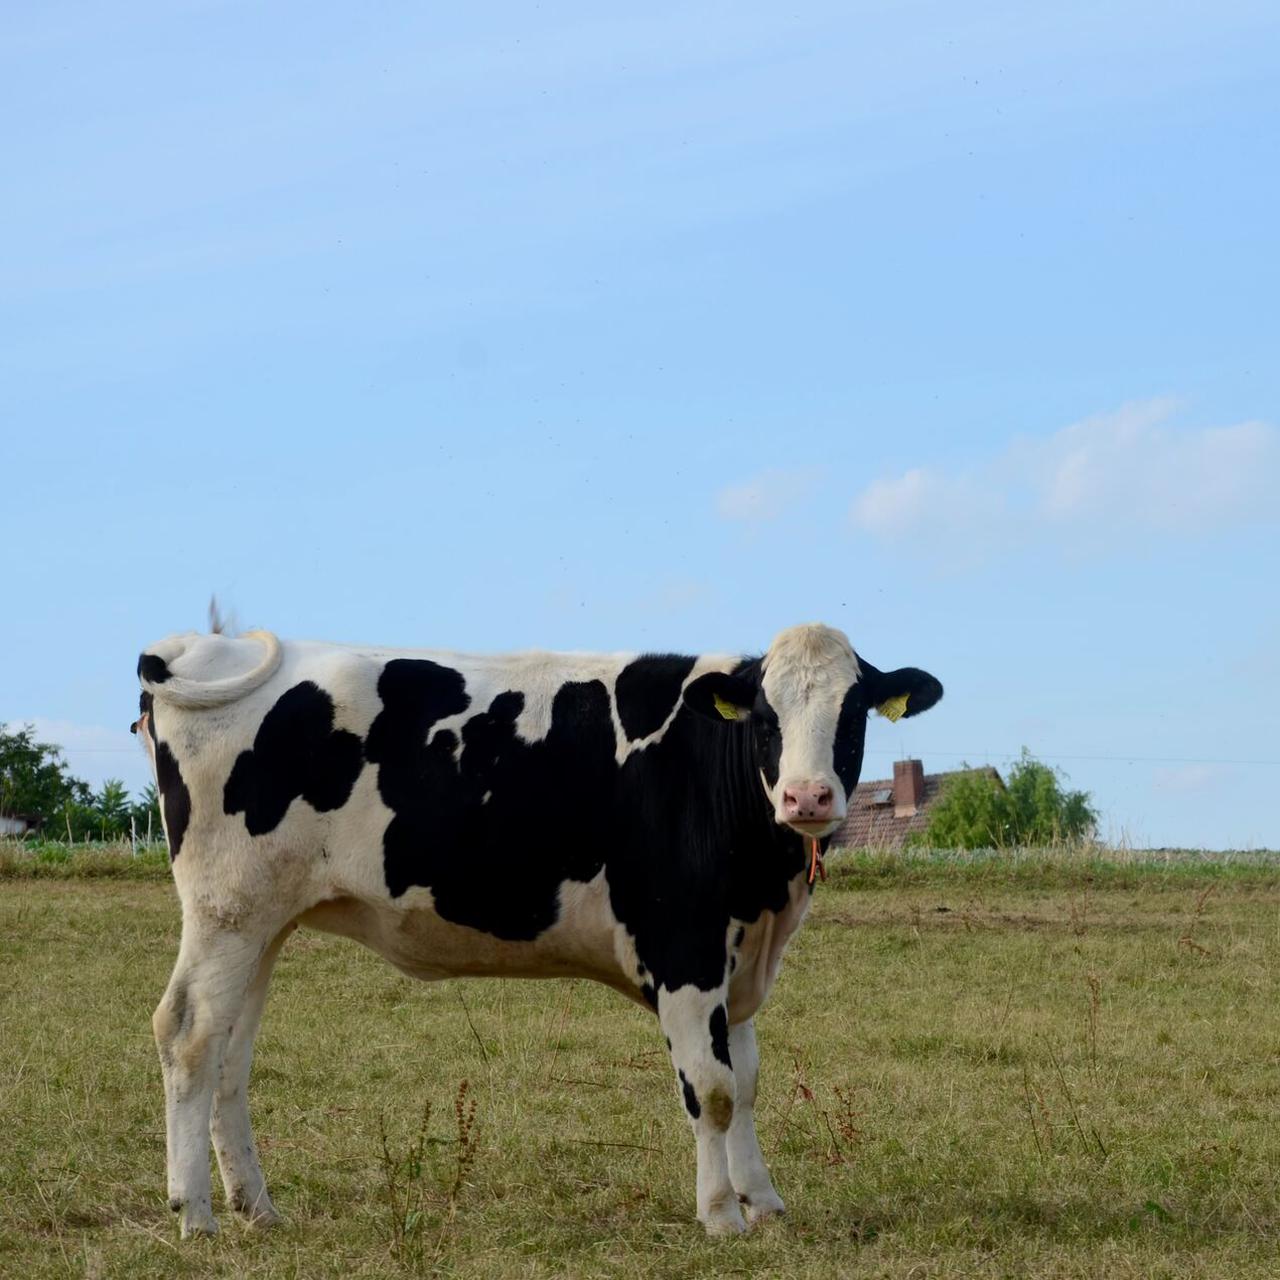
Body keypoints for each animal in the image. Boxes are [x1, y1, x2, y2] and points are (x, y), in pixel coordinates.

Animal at [137, 624, 942, 1233]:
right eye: (768, 718)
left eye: (852, 714)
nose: (808, 797)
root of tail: (198, 647)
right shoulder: (684, 949)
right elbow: (711, 1089)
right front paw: (720, 1216)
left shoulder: (737, 958)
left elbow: (744, 1083)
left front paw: (764, 1203)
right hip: (226, 911)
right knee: (188, 1033)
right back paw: (196, 1214)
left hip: (263, 922)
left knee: (231, 1053)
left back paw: (256, 1208)